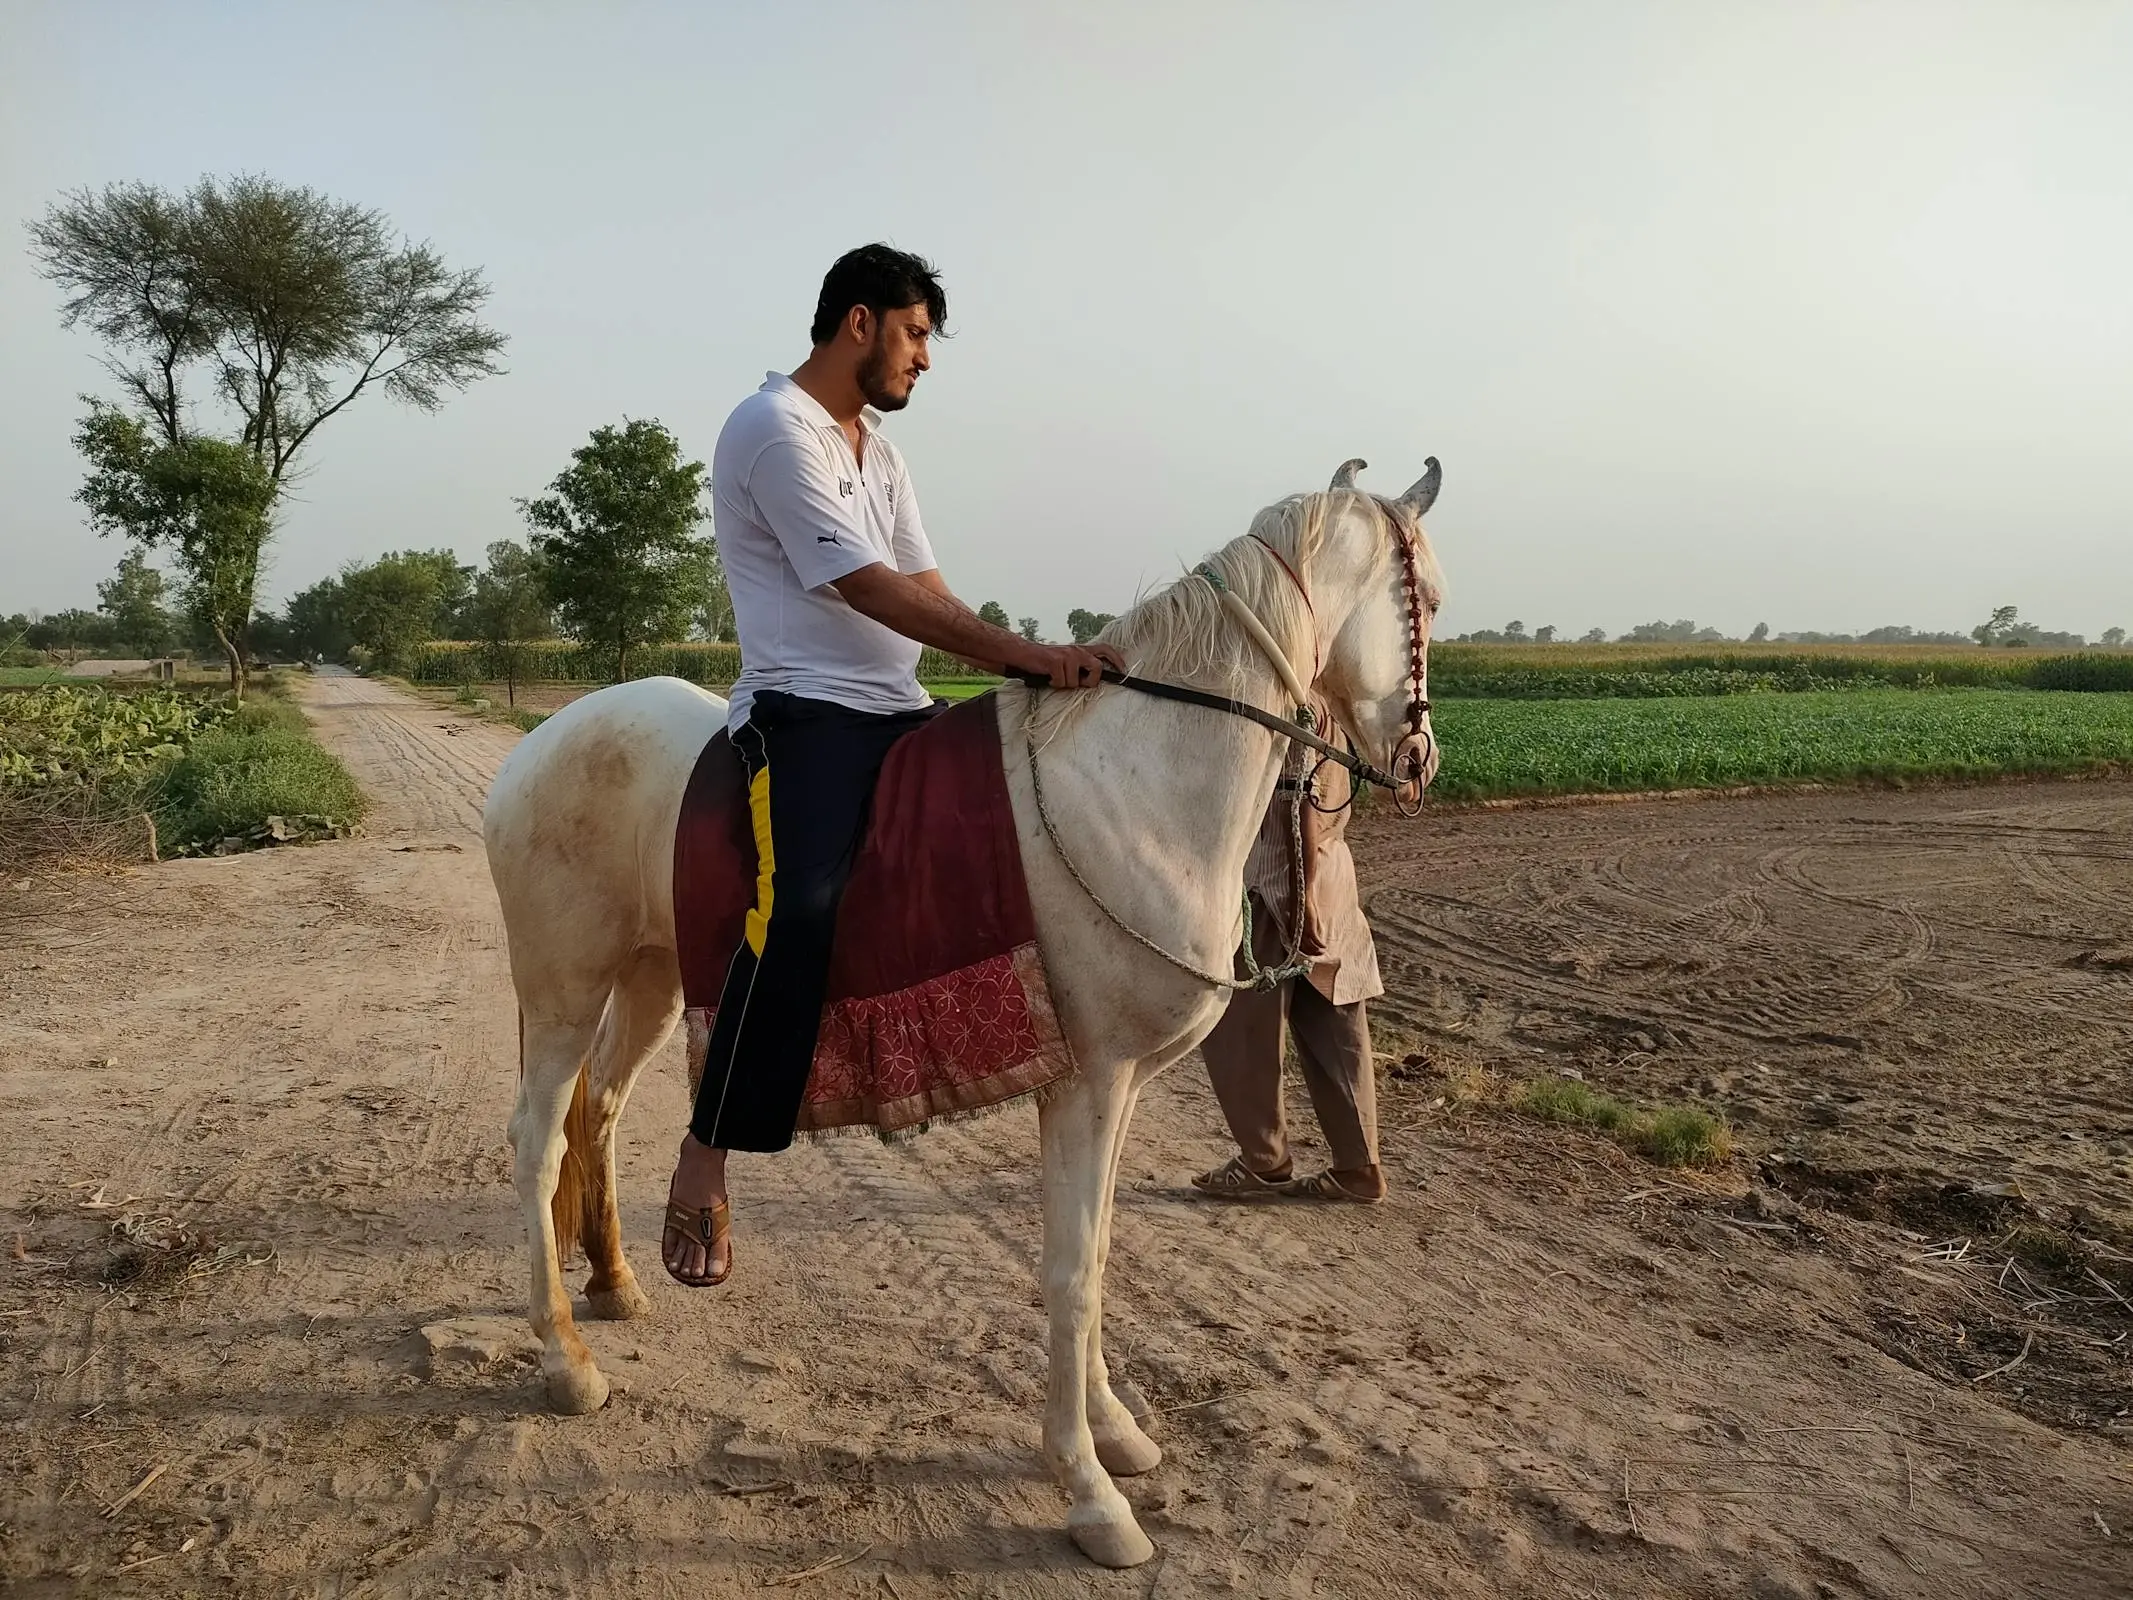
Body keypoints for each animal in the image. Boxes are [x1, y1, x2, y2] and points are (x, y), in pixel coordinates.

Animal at [484, 456, 1450, 1570]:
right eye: (1429, 598)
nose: (1420, 760)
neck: (1134, 783)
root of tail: (542, 744)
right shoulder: (1085, 1084)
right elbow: (1071, 1270)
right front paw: (1087, 1490)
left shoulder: (1117, 1086)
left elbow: (1099, 1253)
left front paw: (1115, 1432)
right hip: (563, 987)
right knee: (539, 1139)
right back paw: (566, 1358)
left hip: (648, 981)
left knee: (596, 1113)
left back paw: (614, 1282)